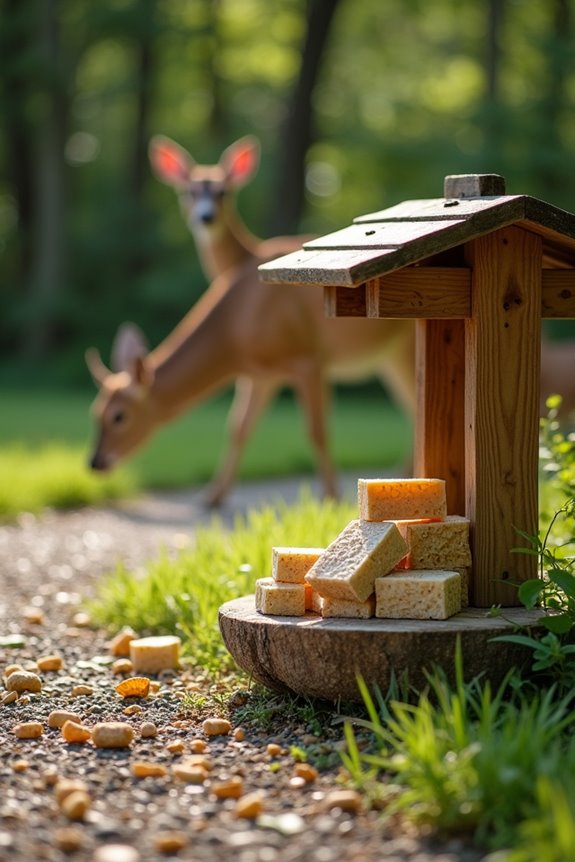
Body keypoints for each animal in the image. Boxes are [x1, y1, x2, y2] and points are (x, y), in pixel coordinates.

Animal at [86, 135, 416, 507]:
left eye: (119, 416)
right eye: (94, 412)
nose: (95, 462)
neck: (236, 324)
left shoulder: (308, 357)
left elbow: (317, 431)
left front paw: (331, 498)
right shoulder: (259, 373)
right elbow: (238, 428)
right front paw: (212, 495)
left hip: (407, 346)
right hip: (388, 357)